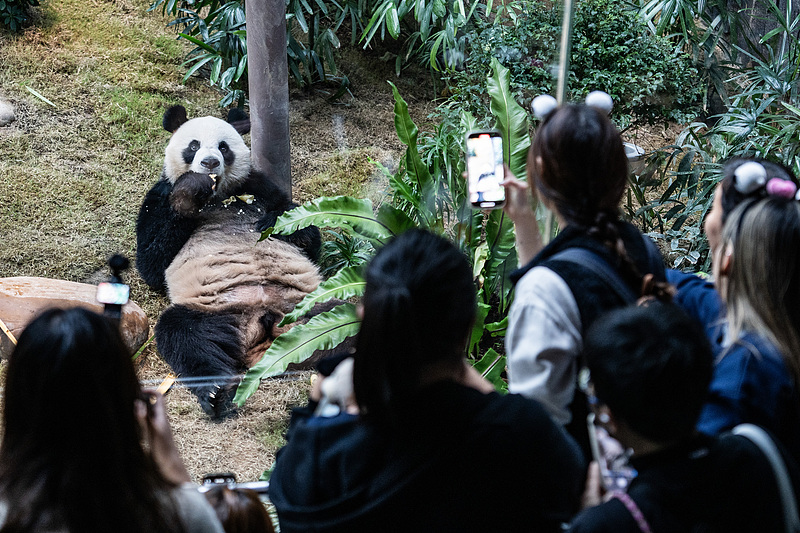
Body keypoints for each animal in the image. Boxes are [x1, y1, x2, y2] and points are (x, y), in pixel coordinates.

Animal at [137, 106, 322, 418]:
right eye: (194, 145)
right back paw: (215, 392)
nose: (210, 162)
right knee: (186, 337)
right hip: (213, 312)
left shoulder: (259, 186)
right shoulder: (159, 196)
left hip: (307, 304)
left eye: (224, 146)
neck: (219, 196)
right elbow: (151, 263)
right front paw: (190, 191)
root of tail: (262, 326)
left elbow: (306, 233)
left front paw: (274, 222)